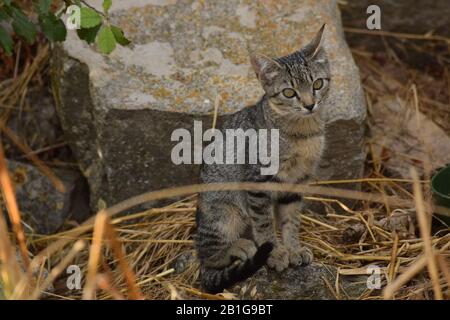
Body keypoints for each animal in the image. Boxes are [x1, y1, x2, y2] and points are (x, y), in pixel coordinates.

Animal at [194, 25, 330, 294]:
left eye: (317, 84)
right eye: (289, 92)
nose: (310, 105)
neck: (302, 133)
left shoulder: (295, 184)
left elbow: (290, 221)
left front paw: (293, 248)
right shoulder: (257, 182)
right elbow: (265, 225)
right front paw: (275, 253)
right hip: (225, 213)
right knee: (207, 255)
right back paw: (238, 247)